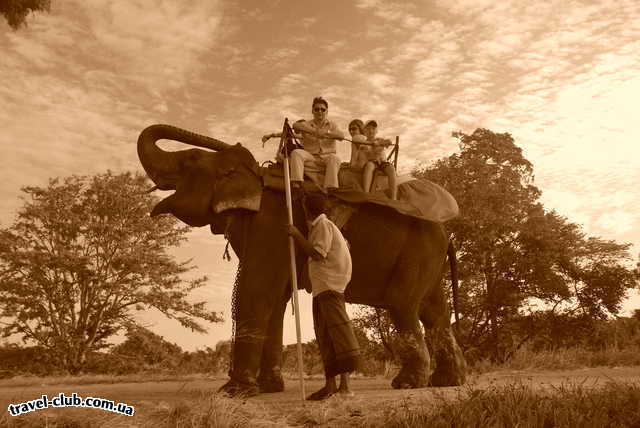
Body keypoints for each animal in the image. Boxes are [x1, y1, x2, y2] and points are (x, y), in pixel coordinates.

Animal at [138, 123, 464, 394]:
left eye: (190, 160)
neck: (257, 180)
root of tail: (446, 233)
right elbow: (276, 299)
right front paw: (268, 388)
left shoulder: (270, 226)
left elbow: (256, 291)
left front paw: (234, 392)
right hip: (426, 257)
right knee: (435, 312)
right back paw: (448, 381)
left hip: (417, 254)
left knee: (403, 305)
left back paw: (408, 383)